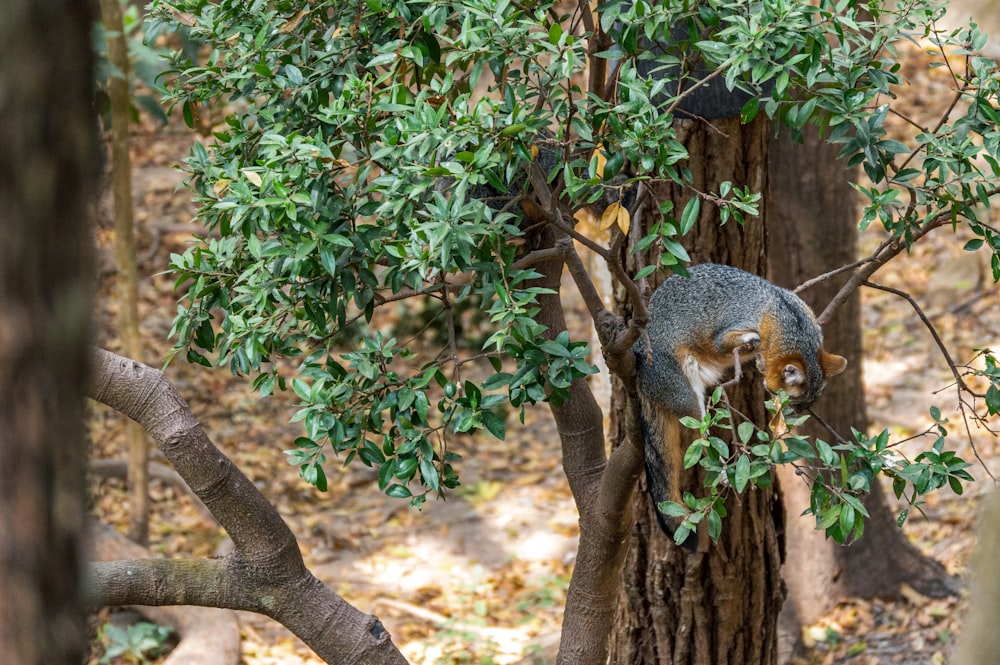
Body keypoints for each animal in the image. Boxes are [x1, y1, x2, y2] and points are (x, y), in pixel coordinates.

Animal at [632, 262, 844, 544]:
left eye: (799, 410)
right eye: (781, 400)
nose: (782, 429)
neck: (781, 311)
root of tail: (637, 360)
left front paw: (760, 361)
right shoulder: (726, 330)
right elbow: (731, 342)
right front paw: (751, 342)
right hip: (691, 402)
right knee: (701, 440)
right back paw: (722, 469)